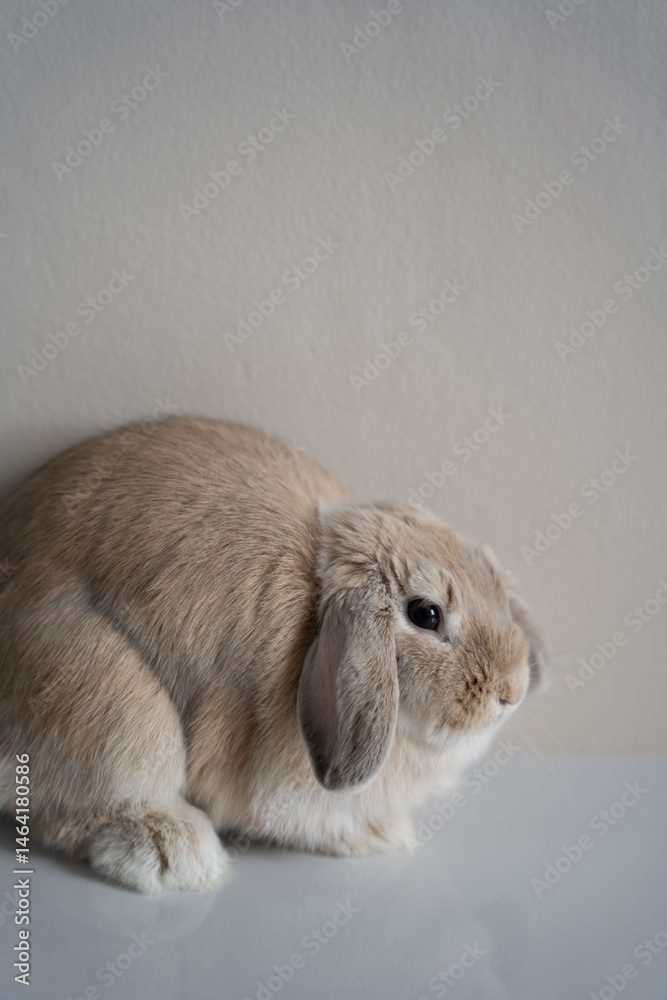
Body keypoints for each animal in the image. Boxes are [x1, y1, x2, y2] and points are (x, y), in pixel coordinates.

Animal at [0, 415, 546, 894]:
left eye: (494, 583)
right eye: (426, 614)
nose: (511, 691)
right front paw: (380, 834)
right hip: (112, 704)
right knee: (73, 811)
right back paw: (174, 853)